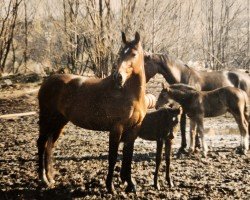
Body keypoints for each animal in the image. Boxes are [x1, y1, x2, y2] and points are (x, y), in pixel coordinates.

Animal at [37, 32, 146, 193]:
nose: (118, 77)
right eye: (120, 53)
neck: (129, 94)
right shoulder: (116, 129)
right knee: (41, 144)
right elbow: (113, 157)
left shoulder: (134, 130)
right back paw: (43, 179)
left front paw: (130, 184)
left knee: (49, 146)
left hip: (59, 122)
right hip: (47, 120)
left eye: (133, 54)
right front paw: (110, 187)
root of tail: (48, 81)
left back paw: (50, 179)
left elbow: (128, 156)